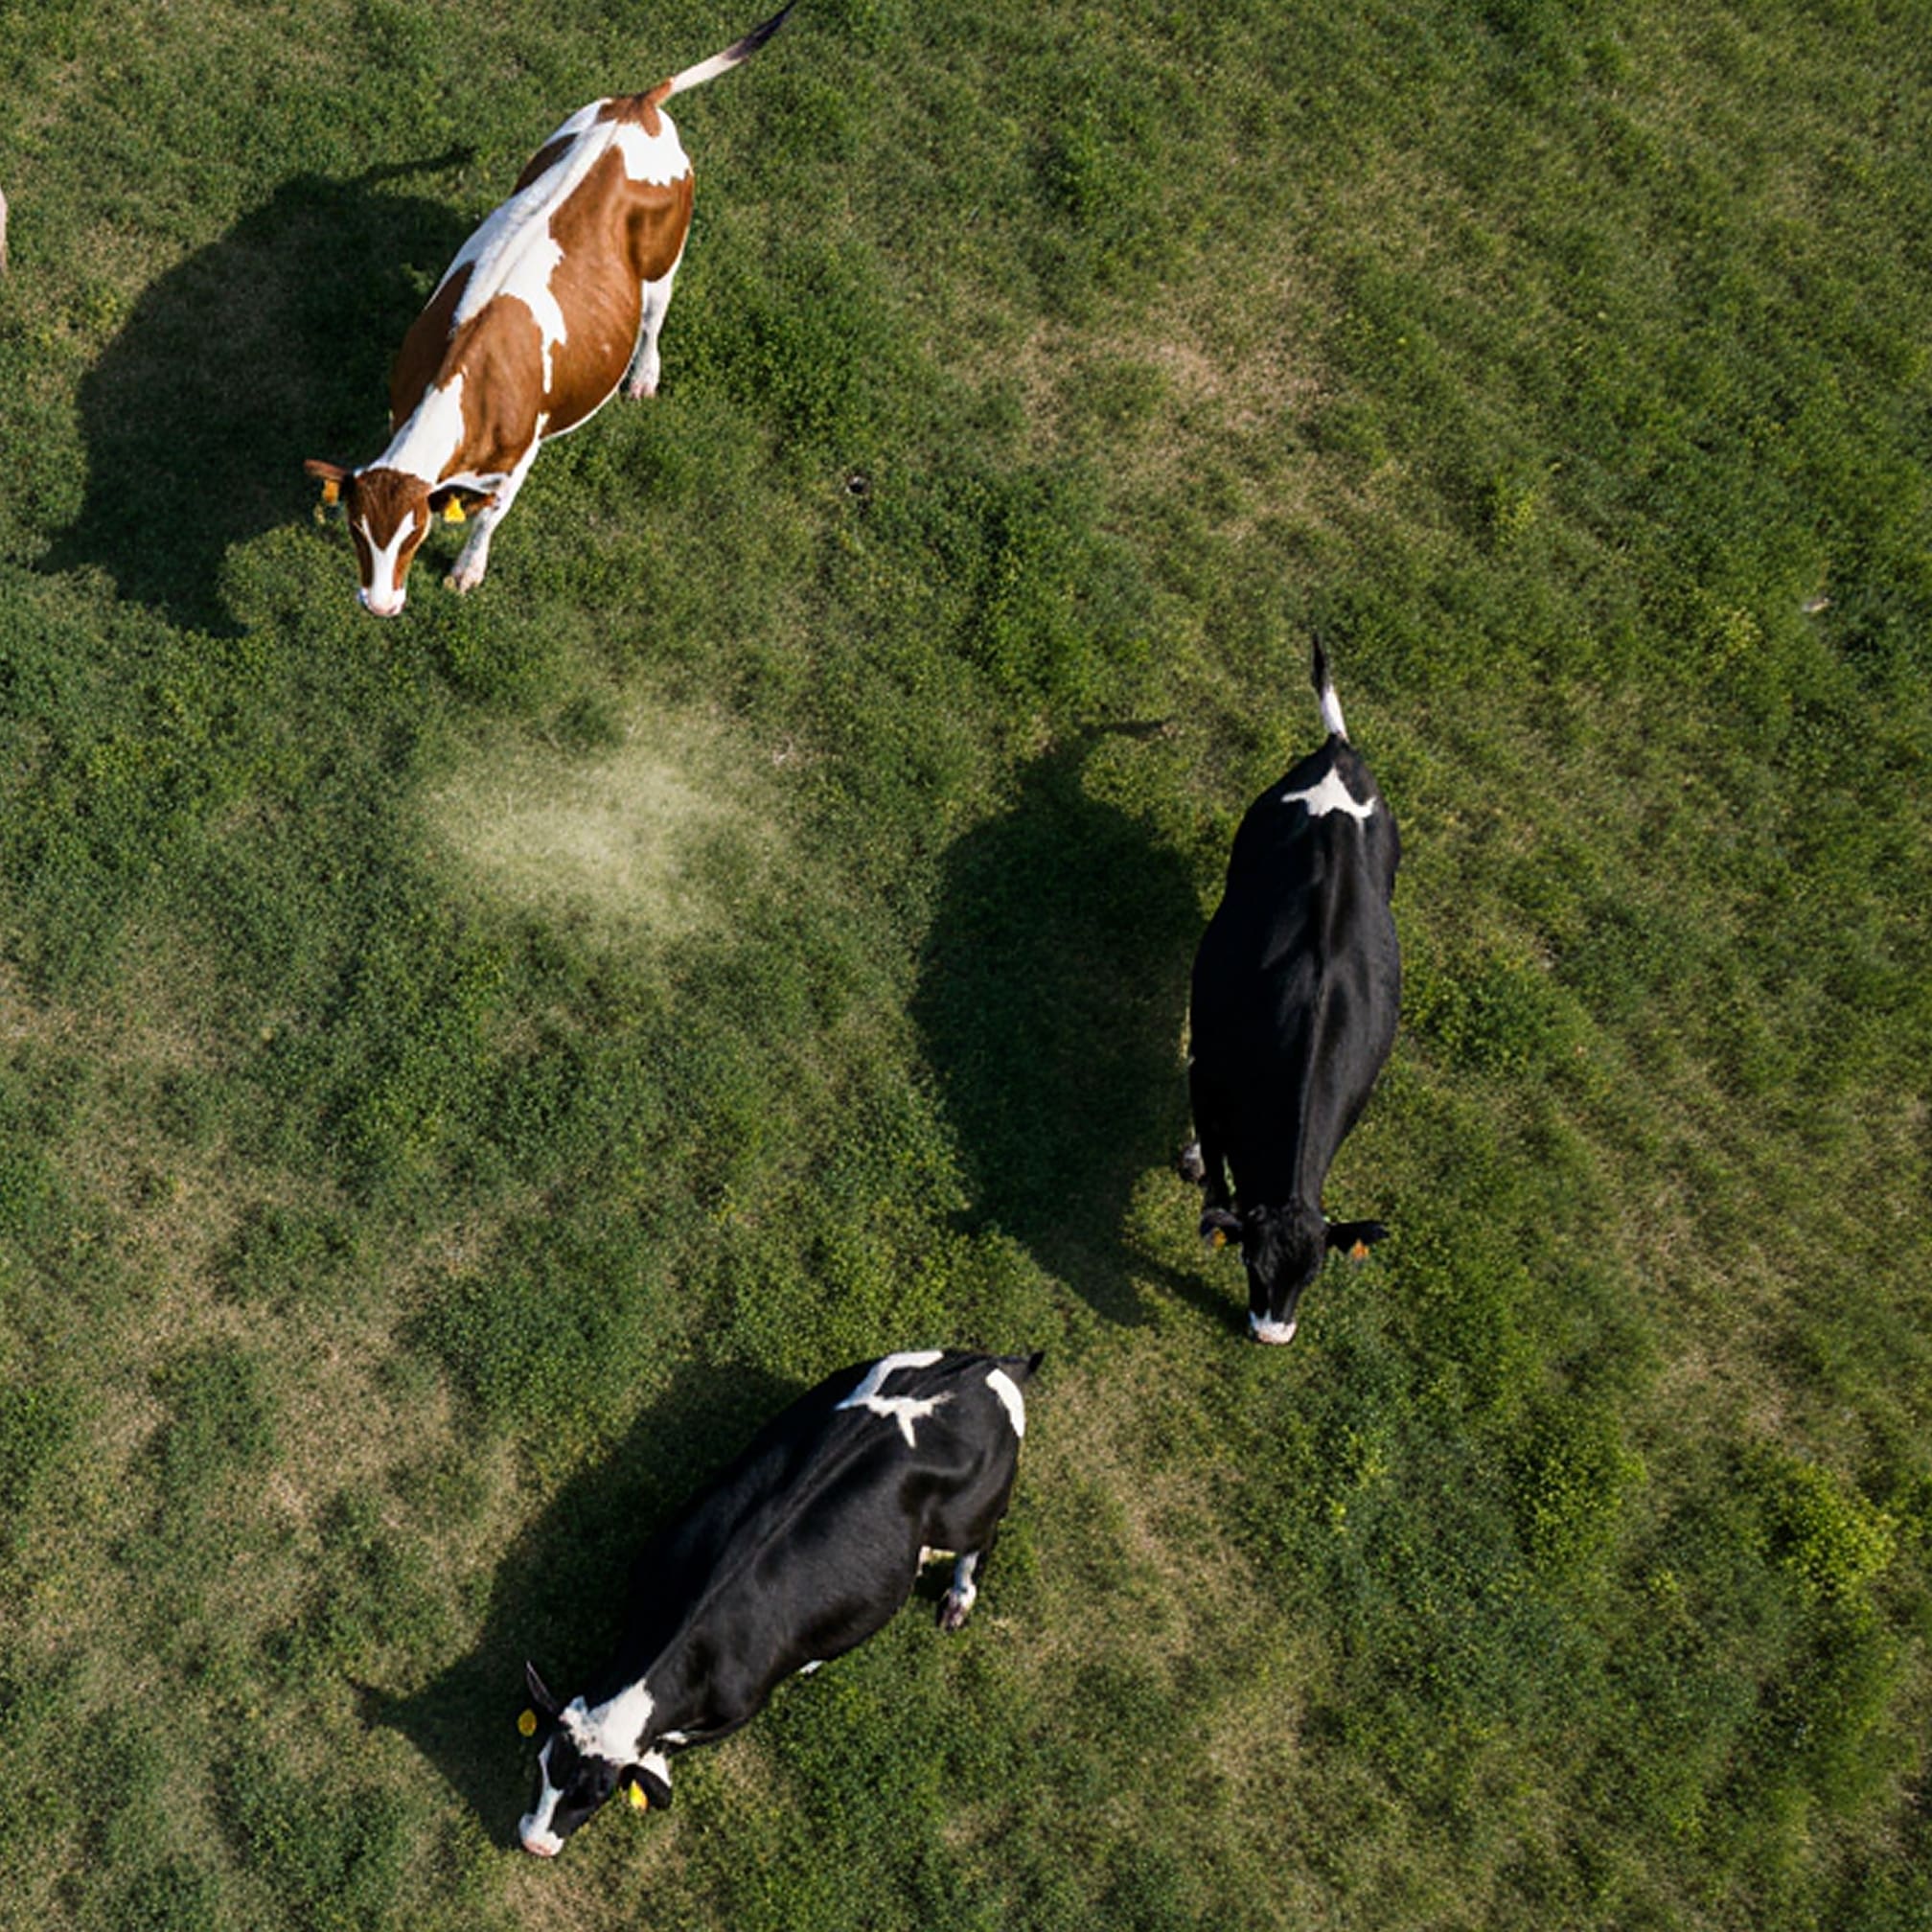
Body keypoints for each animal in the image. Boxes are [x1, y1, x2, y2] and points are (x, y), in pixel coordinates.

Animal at [304, 5, 791, 616]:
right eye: (357, 529)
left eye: (416, 535)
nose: (380, 605)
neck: (461, 386)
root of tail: (639, 105)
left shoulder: (518, 461)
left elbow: (488, 519)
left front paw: (467, 570)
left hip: (665, 257)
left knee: (654, 316)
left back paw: (644, 376)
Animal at [516, 1347, 1042, 1857]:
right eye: (543, 1764)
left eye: (598, 1793)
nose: (535, 1843)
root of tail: (984, 1364)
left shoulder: (743, 1706)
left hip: (971, 1514)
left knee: (983, 1542)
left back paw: (957, 1602)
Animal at [1181, 641, 1401, 1344]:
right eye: (1251, 1261)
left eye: (1316, 1274)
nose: (1270, 1334)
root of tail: (1340, 751)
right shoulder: (1205, 1071)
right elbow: (1215, 1170)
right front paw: (1201, 1168)